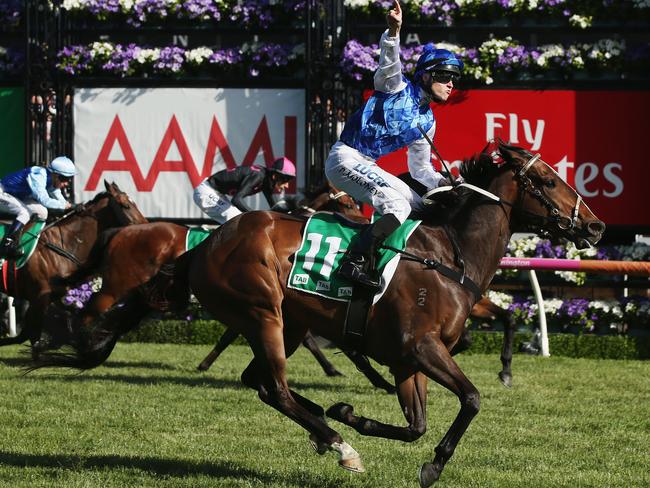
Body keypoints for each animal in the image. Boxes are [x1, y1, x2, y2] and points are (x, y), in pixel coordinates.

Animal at [0, 181, 146, 356]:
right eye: (125, 205)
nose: (146, 225)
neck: (64, 244)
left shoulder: (53, 296)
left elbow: (67, 322)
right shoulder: (39, 297)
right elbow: (33, 338)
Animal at [34, 141, 604, 484]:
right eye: (547, 180)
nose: (595, 227)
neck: (449, 253)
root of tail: (204, 244)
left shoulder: (407, 360)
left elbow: (417, 425)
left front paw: (352, 412)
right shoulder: (419, 347)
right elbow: (471, 398)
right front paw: (431, 465)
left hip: (287, 322)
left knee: (261, 383)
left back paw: (326, 424)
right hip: (263, 311)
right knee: (277, 388)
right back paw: (336, 442)